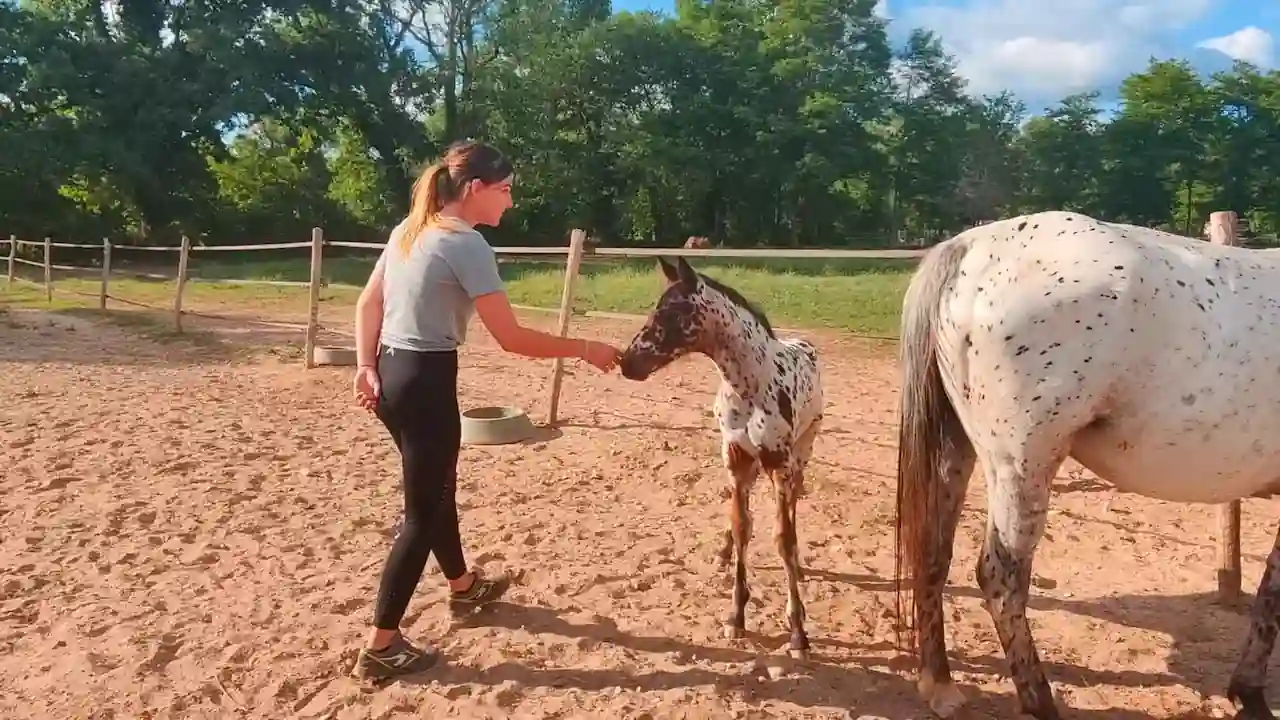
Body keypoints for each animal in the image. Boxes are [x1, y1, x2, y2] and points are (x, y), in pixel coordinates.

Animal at [617, 256, 824, 659]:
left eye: (671, 311)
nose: (627, 363)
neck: (753, 387)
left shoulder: (779, 463)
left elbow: (783, 538)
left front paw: (797, 632)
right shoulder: (736, 458)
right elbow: (743, 526)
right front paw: (736, 617)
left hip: (802, 452)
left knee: (793, 502)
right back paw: (724, 553)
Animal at [893, 209, 1280, 719]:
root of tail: (971, 248)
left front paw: (1248, 690)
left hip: (958, 451)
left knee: (934, 552)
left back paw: (939, 684)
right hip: (1021, 467)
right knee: (1001, 578)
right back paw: (1040, 703)